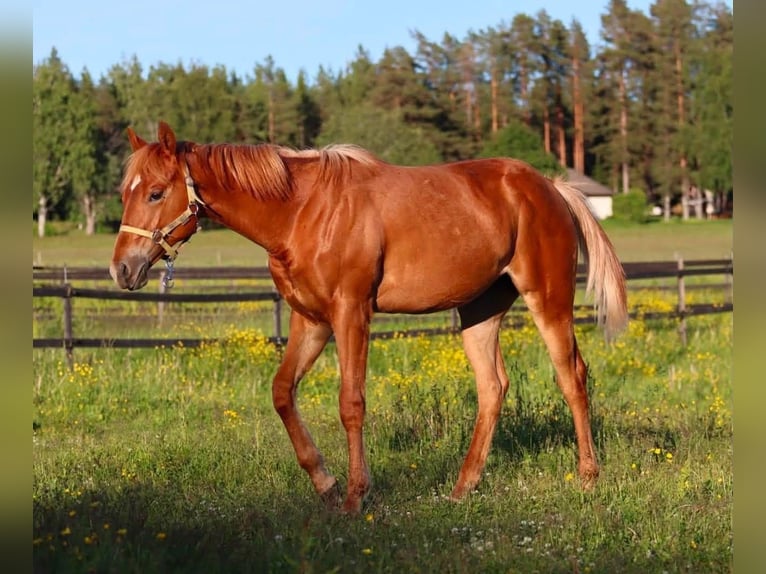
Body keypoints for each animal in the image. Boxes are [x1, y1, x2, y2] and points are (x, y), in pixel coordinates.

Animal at [110, 121, 628, 514]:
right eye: (124, 193)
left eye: (155, 192)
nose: (122, 269)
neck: (302, 211)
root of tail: (551, 187)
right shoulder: (310, 320)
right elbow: (282, 393)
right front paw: (326, 483)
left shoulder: (350, 313)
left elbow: (351, 403)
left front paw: (356, 496)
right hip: (480, 310)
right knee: (492, 387)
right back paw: (463, 487)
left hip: (548, 299)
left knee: (572, 376)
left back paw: (587, 477)